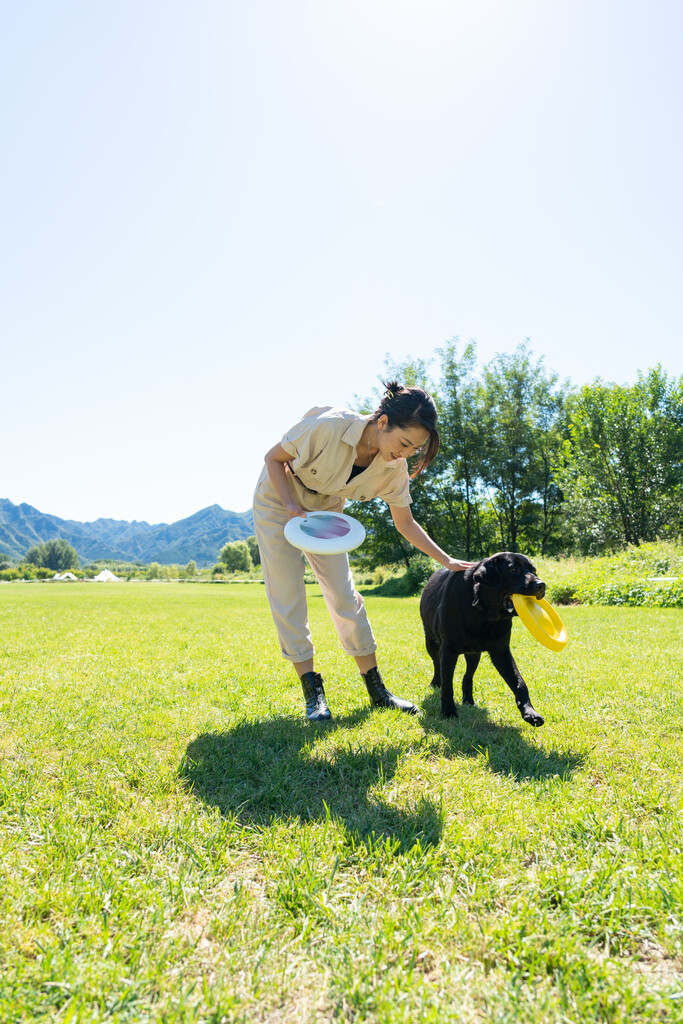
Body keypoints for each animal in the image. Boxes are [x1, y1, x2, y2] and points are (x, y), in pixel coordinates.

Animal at [419, 552, 548, 729]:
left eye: (533, 570)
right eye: (513, 570)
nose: (541, 584)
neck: (485, 614)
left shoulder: (501, 651)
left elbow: (519, 682)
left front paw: (530, 713)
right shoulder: (448, 649)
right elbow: (447, 683)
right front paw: (448, 711)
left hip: (474, 654)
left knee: (468, 676)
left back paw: (468, 700)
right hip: (431, 642)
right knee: (436, 664)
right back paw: (435, 683)